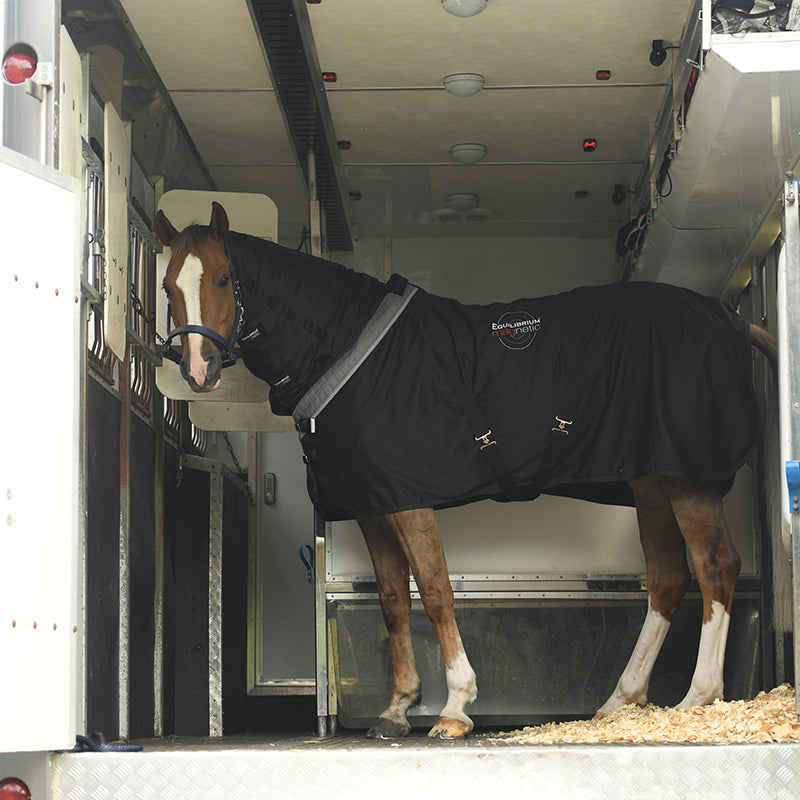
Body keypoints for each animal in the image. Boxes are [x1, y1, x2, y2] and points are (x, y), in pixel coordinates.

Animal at [155, 203, 776, 740]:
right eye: (167, 287)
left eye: (223, 279)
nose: (198, 369)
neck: (347, 349)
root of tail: (726, 318)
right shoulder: (375, 503)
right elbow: (392, 598)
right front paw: (397, 709)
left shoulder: (408, 498)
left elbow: (434, 589)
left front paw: (454, 708)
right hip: (651, 480)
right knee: (667, 578)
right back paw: (620, 701)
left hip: (689, 480)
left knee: (715, 566)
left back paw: (699, 696)